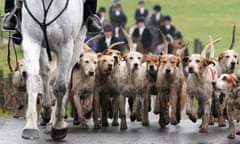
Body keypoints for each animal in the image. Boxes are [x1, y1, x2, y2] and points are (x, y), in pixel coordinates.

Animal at [20, 0, 86, 140]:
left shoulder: (66, 46)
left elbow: (60, 87)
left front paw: (58, 126)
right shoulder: (31, 41)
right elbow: (33, 81)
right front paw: (30, 126)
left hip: (77, 44)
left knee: (66, 80)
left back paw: (53, 120)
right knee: (45, 73)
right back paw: (46, 111)